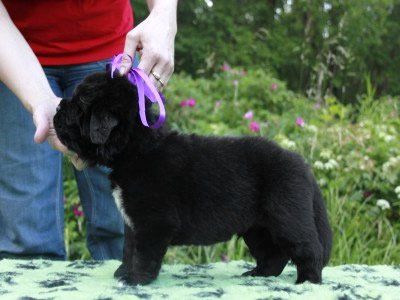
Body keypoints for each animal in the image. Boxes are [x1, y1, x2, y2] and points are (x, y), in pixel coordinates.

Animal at [54, 70, 334, 286]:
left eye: (78, 106)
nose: (57, 107)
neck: (137, 149)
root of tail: (302, 163)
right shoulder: (133, 221)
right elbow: (129, 248)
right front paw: (123, 272)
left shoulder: (154, 222)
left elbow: (143, 253)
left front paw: (135, 279)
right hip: (257, 227)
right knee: (274, 254)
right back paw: (258, 274)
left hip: (287, 216)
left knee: (309, 248)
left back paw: (307, 282)